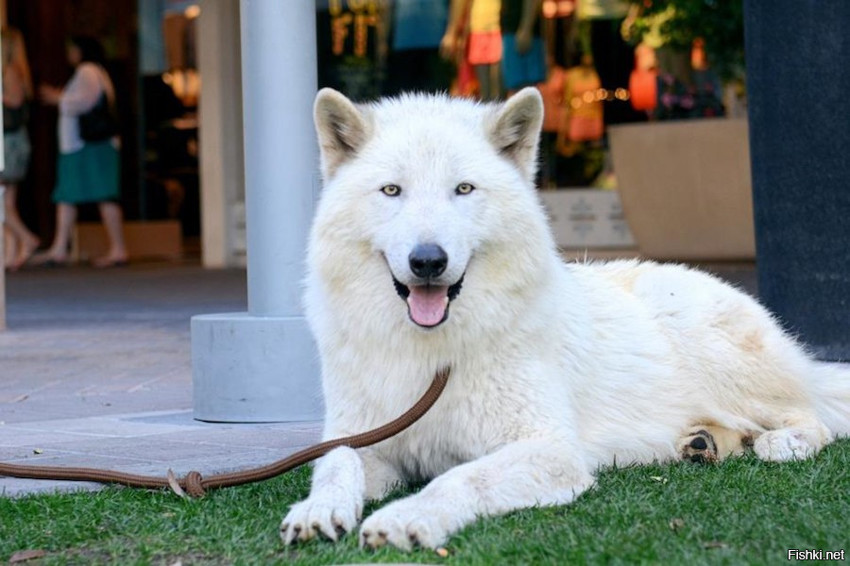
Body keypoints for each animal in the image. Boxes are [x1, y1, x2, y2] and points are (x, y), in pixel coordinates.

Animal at [280, 87, 848, 552]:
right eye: (391, 191)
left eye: (463, 190)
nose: (428, 261)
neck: (434, 354)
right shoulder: (363, 439)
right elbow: (334, 462)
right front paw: (318, 510)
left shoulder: (549, 449)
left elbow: (459, 478)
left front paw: (406, 520)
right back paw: (701, 444)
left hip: (710, 346)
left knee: (810, 416)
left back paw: (781, 443)